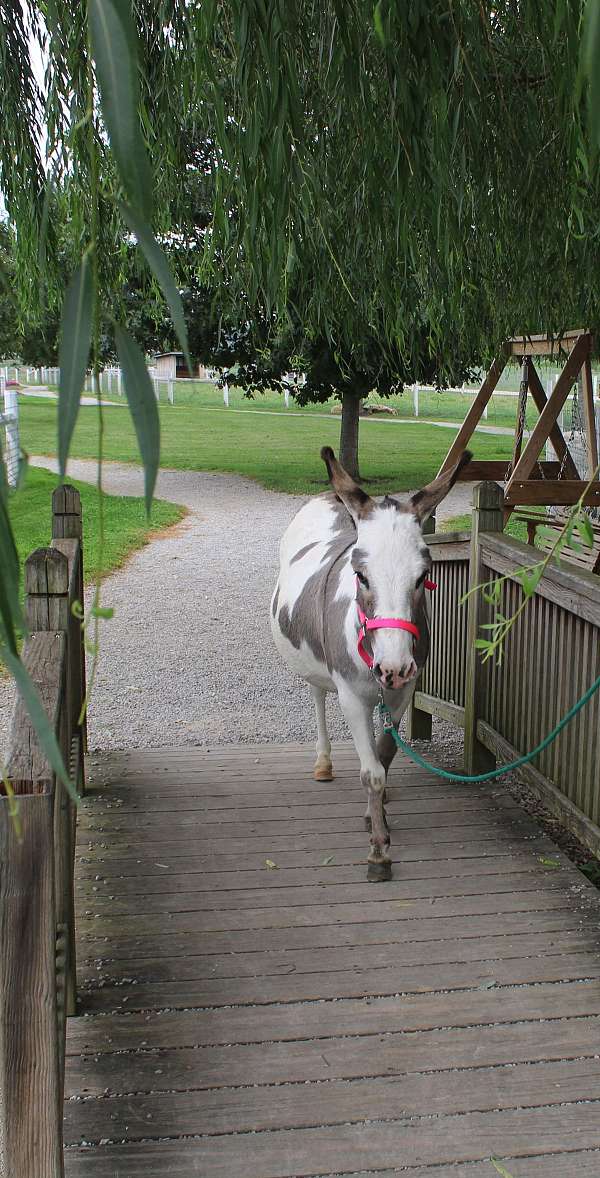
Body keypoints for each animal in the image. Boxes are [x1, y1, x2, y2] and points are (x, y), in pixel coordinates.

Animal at [270, 445, 471, 881]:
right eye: (360, 575)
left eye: (424, 575)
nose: (392, 666)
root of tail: (329, 496)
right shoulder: (352, 695)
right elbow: (370, 772)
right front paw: (378, 852)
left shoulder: (404, 691)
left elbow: (385, 754)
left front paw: (376, 816)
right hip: (313, 663)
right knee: (317, 696)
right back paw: (323, 763)